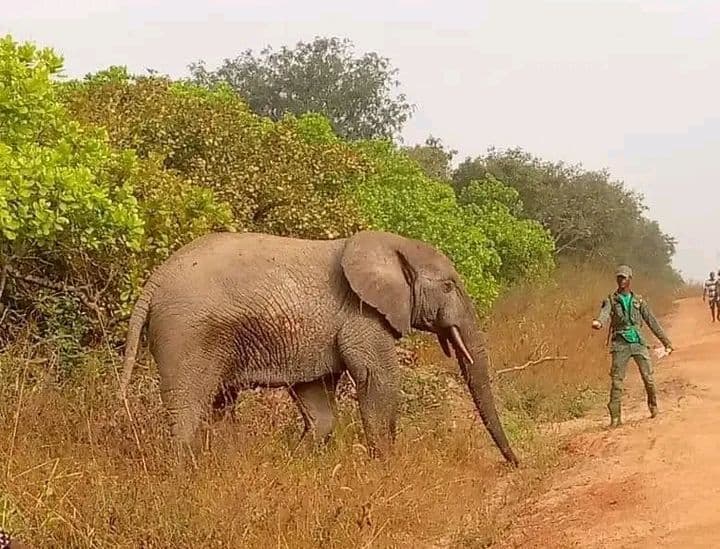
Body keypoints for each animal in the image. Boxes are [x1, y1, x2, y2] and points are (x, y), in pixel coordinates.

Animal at [119, 229, 519, 466]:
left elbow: (318, 400)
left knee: (217, 404)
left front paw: (296, 464)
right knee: (188, 408)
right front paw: (386, 468)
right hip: (186, 333)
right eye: (449, 286)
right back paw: (185, 473)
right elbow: (379, 380)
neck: (389, 245)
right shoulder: (362, 315)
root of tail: (153, 282)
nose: (515, 465)